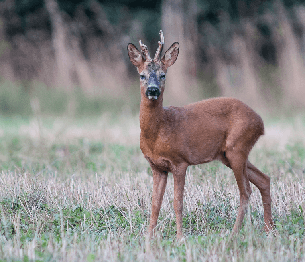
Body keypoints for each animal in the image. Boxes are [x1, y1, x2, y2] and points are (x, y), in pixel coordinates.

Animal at [126, 30, 274, 239]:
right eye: (142, 75)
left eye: (163, 75)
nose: (152, 90)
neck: (159, 131)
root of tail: (260, 123)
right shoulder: (157, 166)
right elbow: (155, 204)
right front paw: (148, 237)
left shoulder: (180, 161)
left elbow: (177, 203)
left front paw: (180, 237)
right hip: (228, 154)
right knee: (263, 179)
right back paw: (270, 228)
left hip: (238, 147)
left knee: (245, 191)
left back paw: (234, 233)